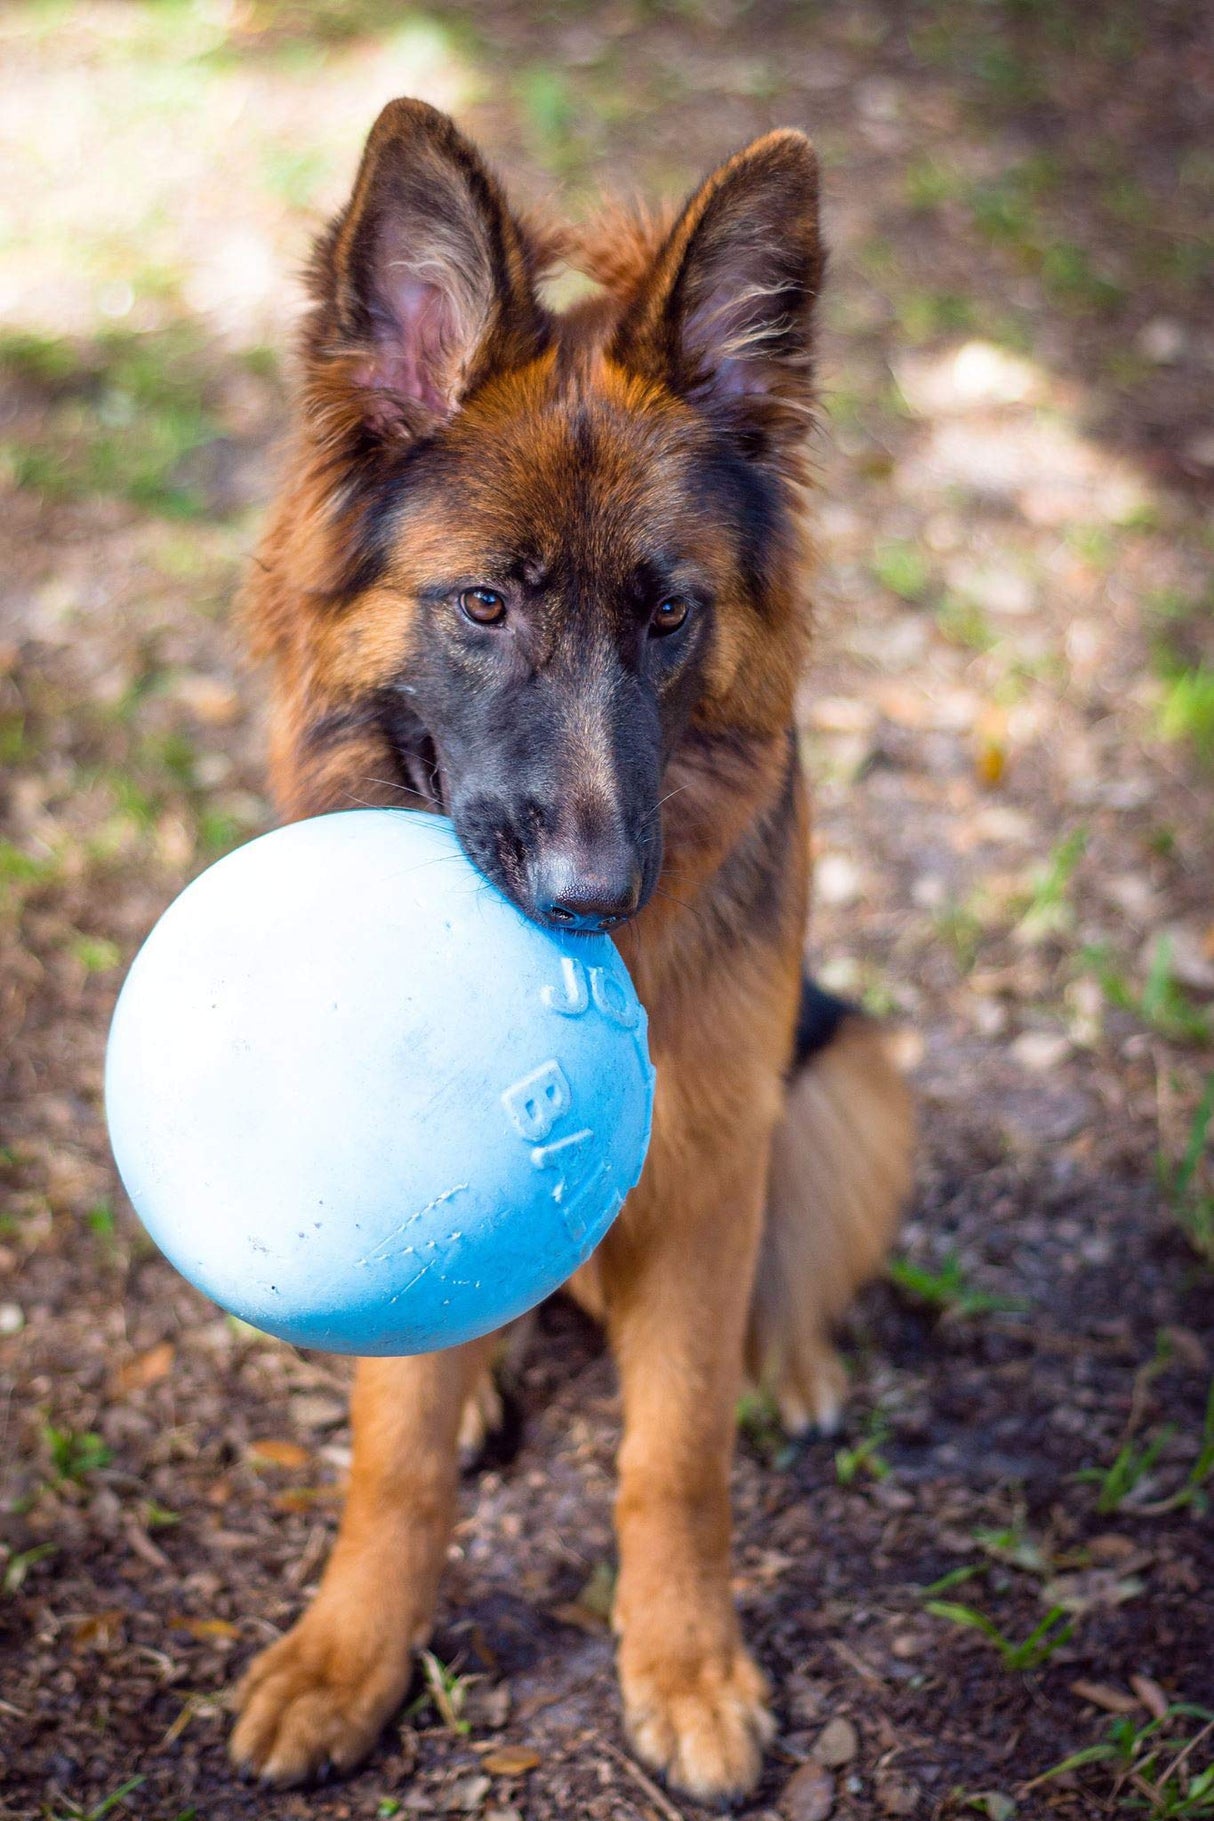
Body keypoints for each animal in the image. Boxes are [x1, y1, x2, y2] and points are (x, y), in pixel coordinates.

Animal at [227, 103, 910, 1806]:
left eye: (667, 614)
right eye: (481, 605)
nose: (594, 897)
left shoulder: (714, 1164)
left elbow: (675, 1455)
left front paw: (686, 1667)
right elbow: (395, 1456)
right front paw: (349, 1656)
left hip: (856, 1075)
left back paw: (789, 1362)